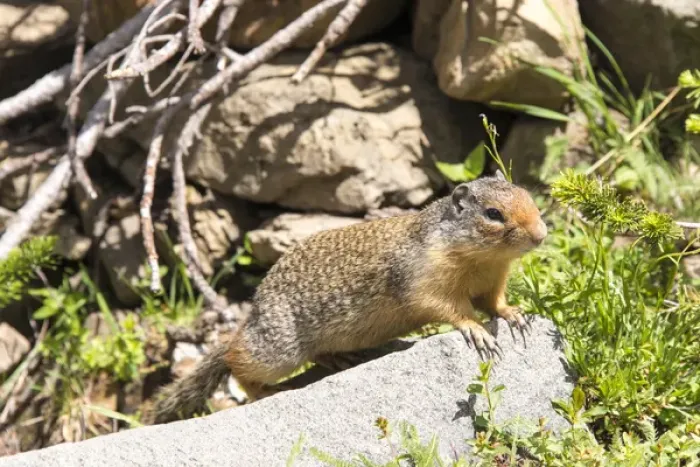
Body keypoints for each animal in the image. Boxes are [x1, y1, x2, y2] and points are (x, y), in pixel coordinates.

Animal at [150, 171, 548, 423]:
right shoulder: (425, 280)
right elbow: (448, 308)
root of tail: (253, 315)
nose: (542, 235)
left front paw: (513, 314)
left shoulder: (493, 281)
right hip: (278, 349)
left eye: (530, 197)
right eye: (493, 214)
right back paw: (264, 391)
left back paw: (341, 357)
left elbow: (493, 302)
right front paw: (476, 329)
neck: (481, 259)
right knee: (236, 359)